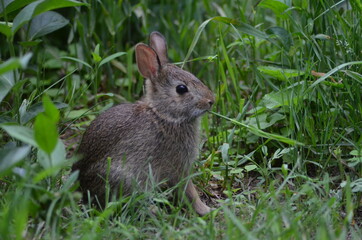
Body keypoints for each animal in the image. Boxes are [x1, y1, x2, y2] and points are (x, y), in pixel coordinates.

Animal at [73, 31, 215, 217]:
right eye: (181, 89)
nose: (211, 100)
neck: (163, 115)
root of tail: (82, 185)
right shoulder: (179, 167)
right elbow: (188, 191)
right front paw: (206, 210)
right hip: (125, 178)